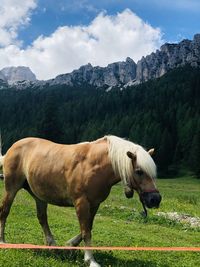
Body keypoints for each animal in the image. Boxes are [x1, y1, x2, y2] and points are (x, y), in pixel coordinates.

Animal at [0, 136, 161, 267]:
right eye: (139, 171)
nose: (155, 199)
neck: (94, 164)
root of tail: (13, 147)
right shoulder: (81, 203)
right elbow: (86, 231)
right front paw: (90, 260)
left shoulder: (95, 204)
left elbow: (88, 226)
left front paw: (70, 245)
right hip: (11, 188)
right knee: (5, 212)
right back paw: (3, 241)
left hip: (39, 196)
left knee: (42, 218)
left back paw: (52, 244)